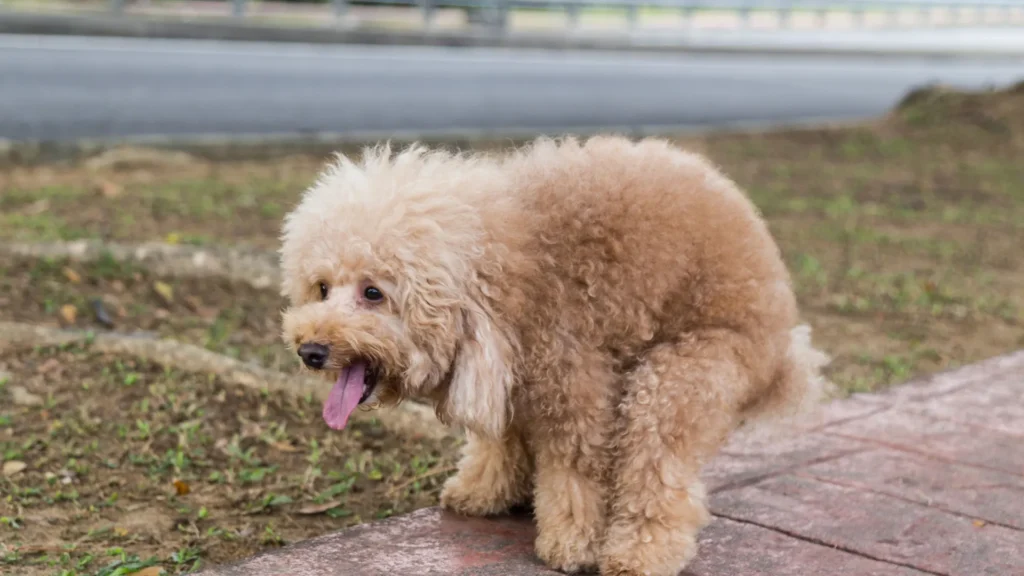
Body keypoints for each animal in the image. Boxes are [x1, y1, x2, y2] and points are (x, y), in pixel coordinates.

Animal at [280, 135, 831, 573]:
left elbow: (574, 470)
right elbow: (500, 440)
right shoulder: (507, 378)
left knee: (657, 464)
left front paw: (571, 541)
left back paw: (640, 553)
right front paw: (483, 490)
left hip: (687, 371)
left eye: (373, 293)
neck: (495, 264)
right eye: (322, 288)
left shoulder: (574, 383)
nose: (310, 349)